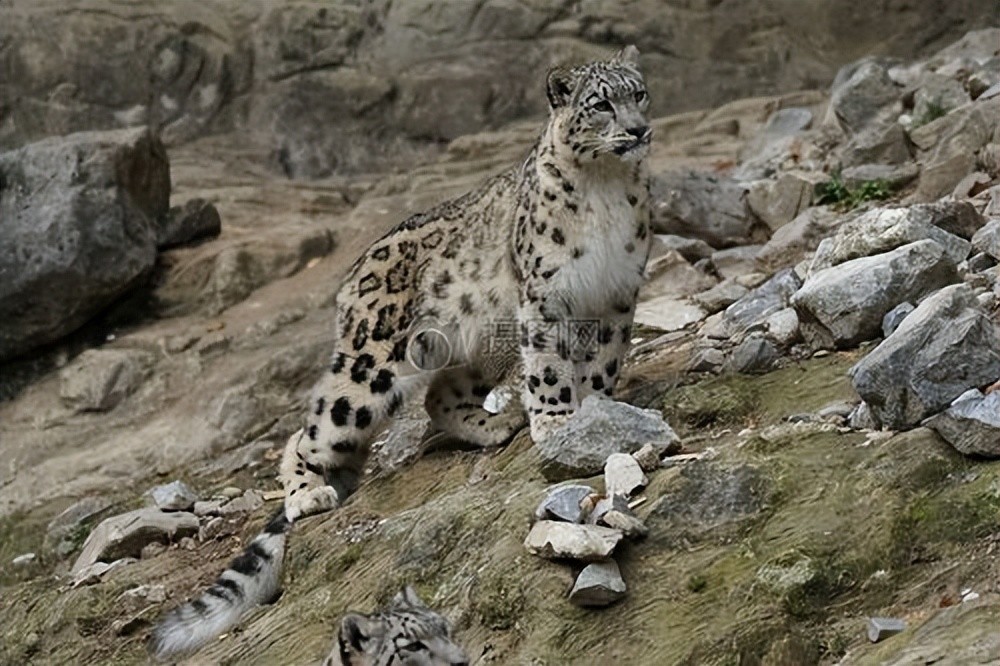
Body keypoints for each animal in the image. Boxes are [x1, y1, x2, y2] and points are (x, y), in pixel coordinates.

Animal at [146, 46, 648, 660]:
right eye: (601, 104)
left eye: (638, 93)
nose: (638, 129)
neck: (606, 190)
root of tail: (349, 278)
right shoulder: (546, 295)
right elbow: (550, 367)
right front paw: (557, 422)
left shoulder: (617, 293)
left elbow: (603, 363)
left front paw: (599, 410)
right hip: (368, 370)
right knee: (309, 431)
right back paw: (309, 493)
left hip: (477, 342)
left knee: (439, 397)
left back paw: (492, 425)